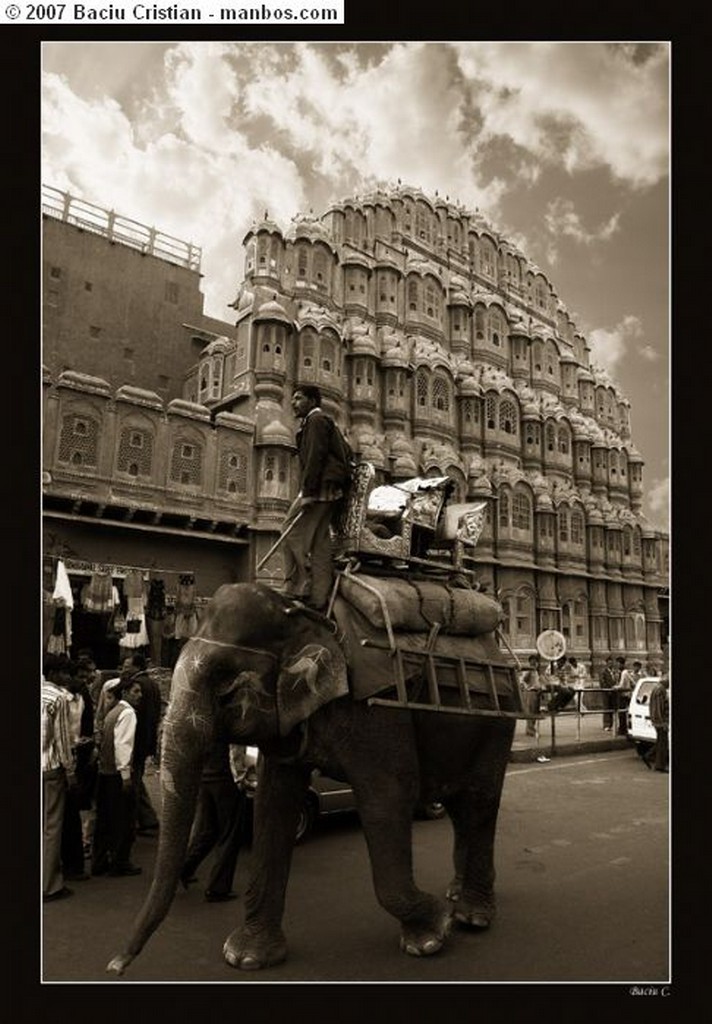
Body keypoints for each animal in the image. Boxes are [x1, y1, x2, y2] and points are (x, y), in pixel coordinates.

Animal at [106, 585, 518, 974]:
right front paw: (247, 958)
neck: (307, 619)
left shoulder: (376, 713)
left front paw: (434, 935)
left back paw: (472, 916)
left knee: (479, 802)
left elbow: (387, 798)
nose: (116, 966)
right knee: (460, 806)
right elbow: (274, 803)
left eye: (226, 685)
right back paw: (456, 896)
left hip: (498, 725)